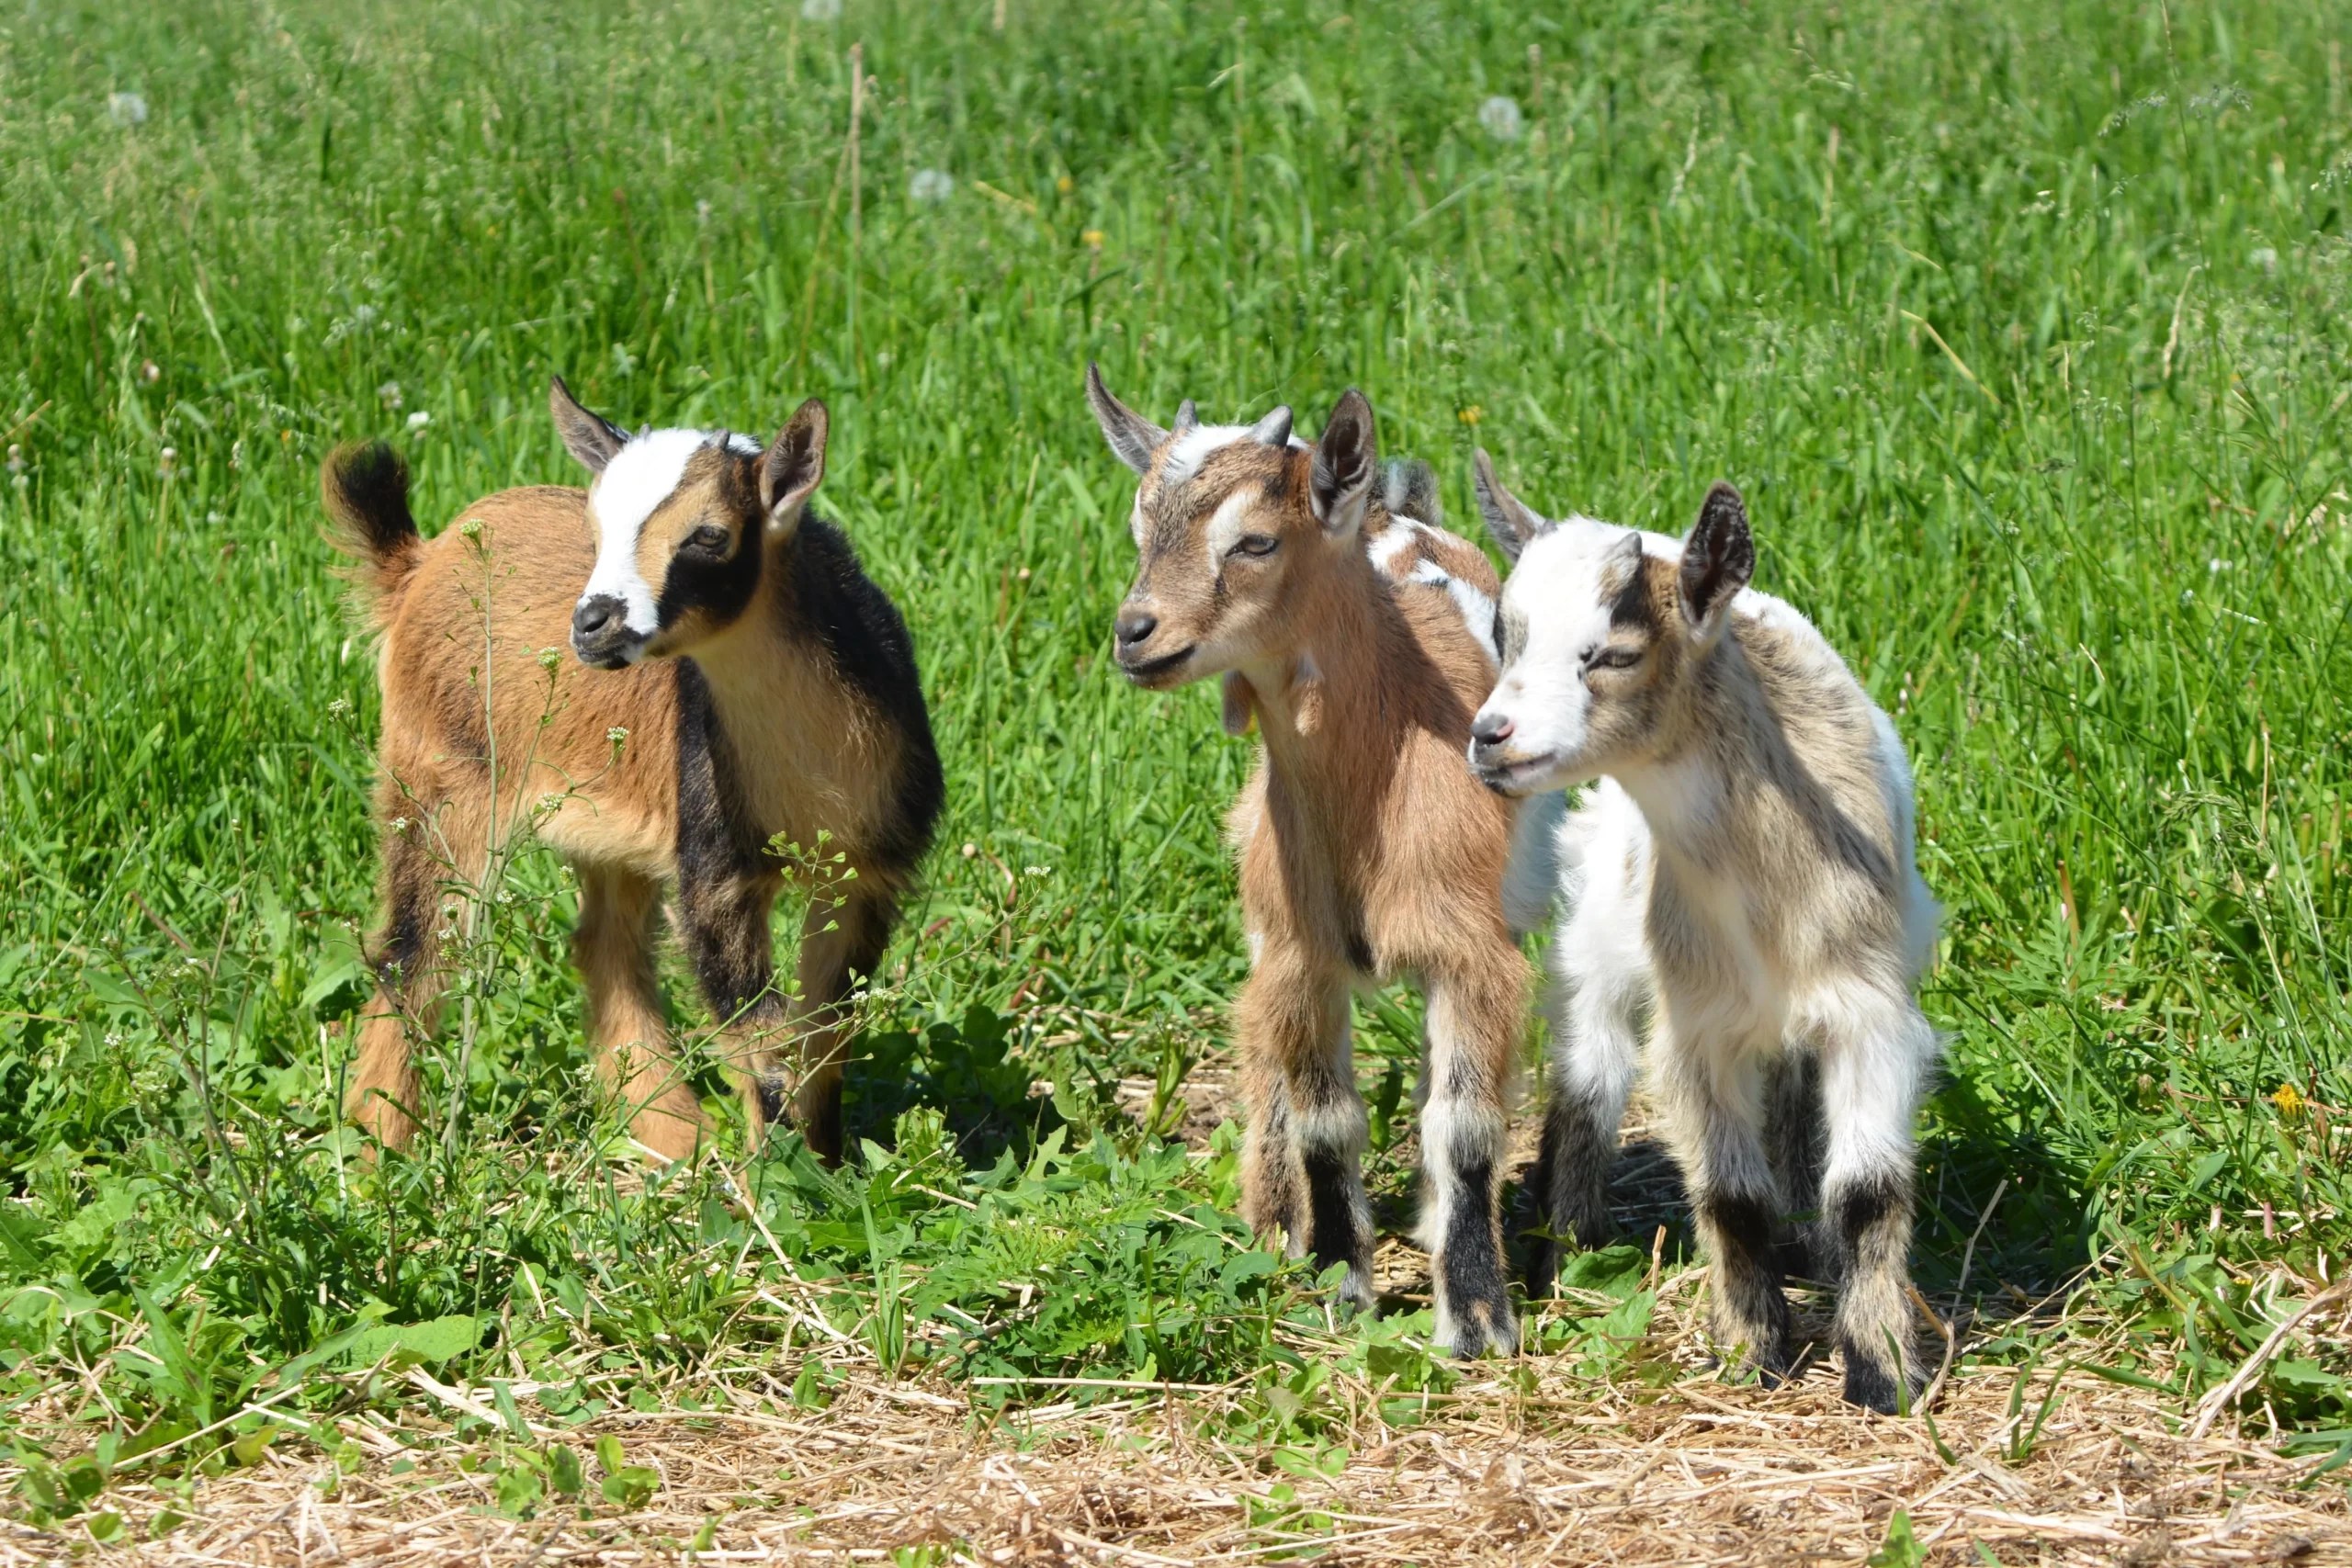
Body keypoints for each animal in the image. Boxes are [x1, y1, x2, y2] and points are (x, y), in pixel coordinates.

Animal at [323, 380, 942, 1164]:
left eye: (709, 535)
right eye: (595, 533)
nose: (592, 623)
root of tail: (419, 560)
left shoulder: (866, 874)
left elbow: (824, 1037)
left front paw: (828, 1167)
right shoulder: (716, 871)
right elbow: (760, 1038)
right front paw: (776, 1179)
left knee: (605, 947)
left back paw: (670, 1134)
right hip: (440, 777)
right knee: (417, 949)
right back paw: (379, 1147)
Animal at [1085, 367, 1554, 1356]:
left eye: (1255, 540)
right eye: (1142, 533)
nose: (1135, 632)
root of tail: (1396, 512)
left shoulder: (1474, 953)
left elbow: (1463, 1126)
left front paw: (1478, 1317)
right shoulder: (1301, 957)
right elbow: (1325, 1121)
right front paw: (1337, 1283)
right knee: (1263, 1055)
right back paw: (1271, 1224)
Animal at [1464, 455, 1940, 1409]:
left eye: (1613, 652)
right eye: (1509, 638)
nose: (1489, 737)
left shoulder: (1869, 1011)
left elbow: (1867, 1191)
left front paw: (1882, 1371)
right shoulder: (1697, 1024)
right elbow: (1729, 1195)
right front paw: (1753, 1351)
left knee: (1792, 1094)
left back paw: (1807, 1243)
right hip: (1597, 944)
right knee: (1589, 1081)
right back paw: (1569, 1250)